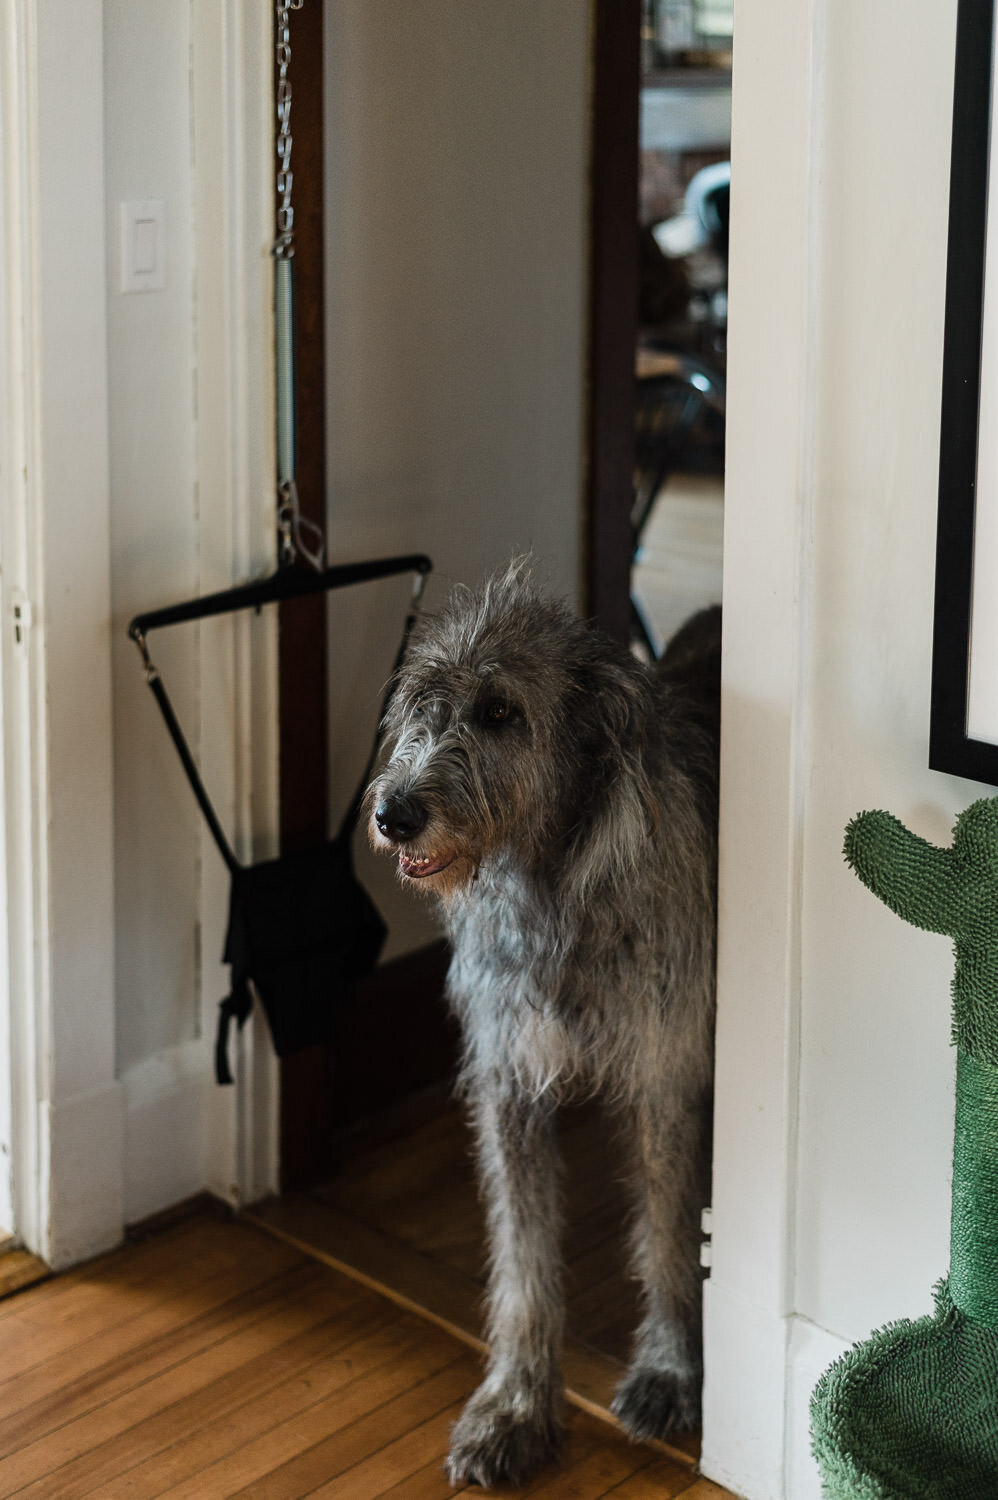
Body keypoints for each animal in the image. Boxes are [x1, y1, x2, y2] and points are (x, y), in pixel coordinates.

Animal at [366, 564, 717, 1488]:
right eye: (424, 704)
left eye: (500, 712)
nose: (393, 813)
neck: (550, 884)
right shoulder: (509, 1079)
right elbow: (522, 1254)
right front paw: (516, 1403)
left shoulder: (664, 1070)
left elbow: (670, 1227)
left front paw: (673, 1370)